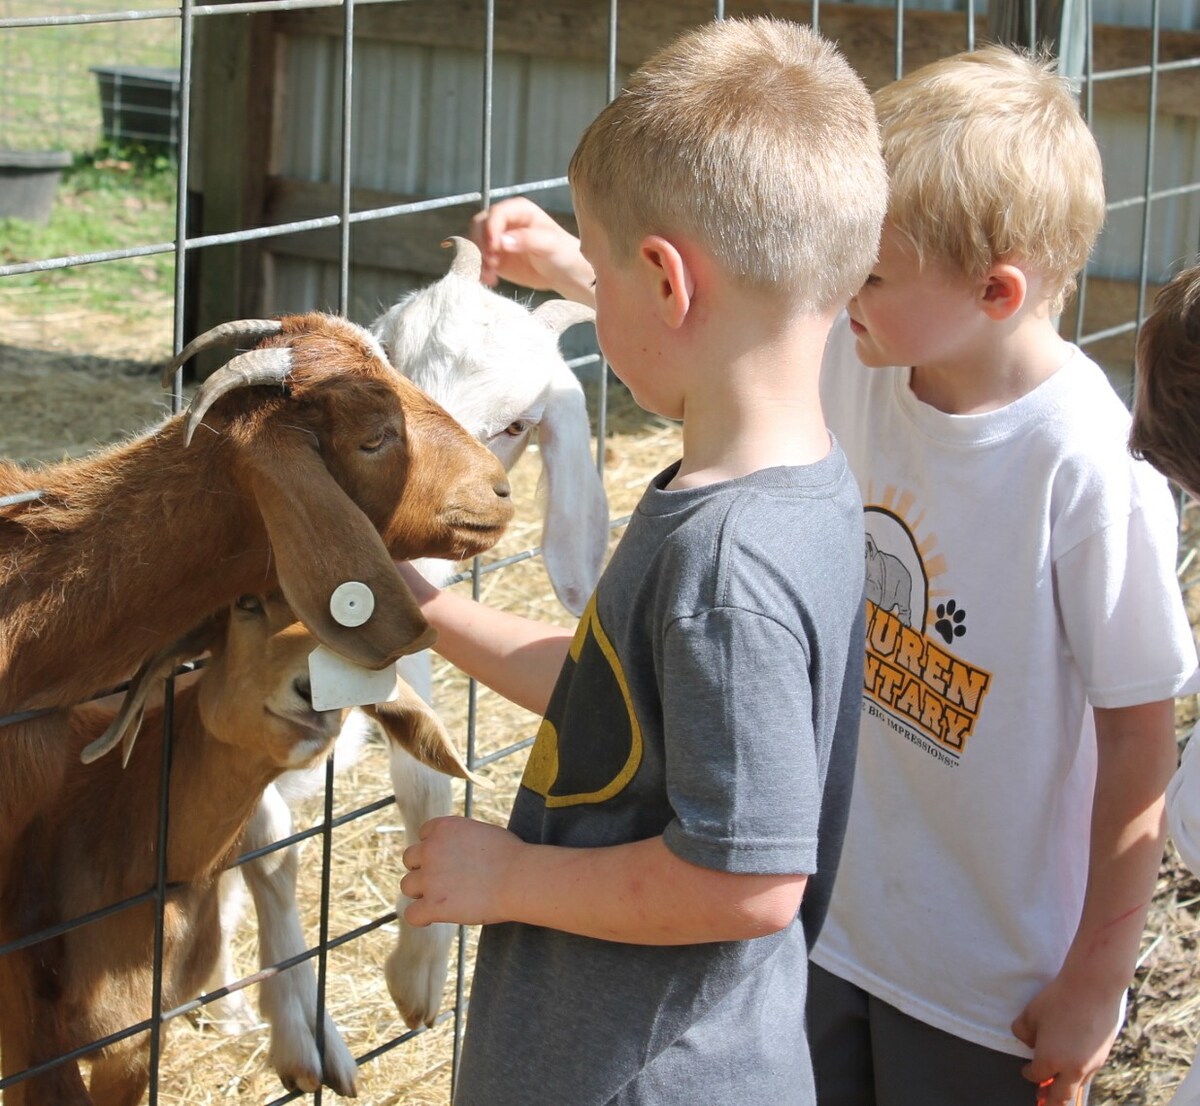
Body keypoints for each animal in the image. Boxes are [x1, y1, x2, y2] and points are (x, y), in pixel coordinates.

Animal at [206, 232, 609, 1036]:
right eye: (385, 360)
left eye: (517, 425)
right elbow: (261, 837)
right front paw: (299, 1019)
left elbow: (427, 782)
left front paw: (420, 976)